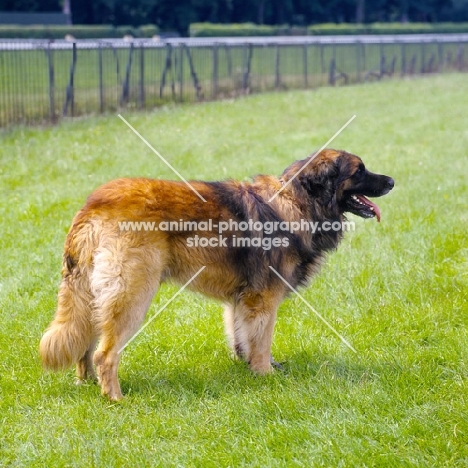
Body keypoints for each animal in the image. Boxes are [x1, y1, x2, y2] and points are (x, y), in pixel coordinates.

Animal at [40, 148, 394, 400]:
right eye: (359, 171)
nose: (392, 181)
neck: (299, 202)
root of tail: (94, 205)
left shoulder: (240, 299)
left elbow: (242, 338)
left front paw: (248, 367)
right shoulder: (263, 299)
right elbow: (262, 340)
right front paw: (266, 375)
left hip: (94, 296)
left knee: (86, 346)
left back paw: (86, 384)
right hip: (132, 295)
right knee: (105, 353)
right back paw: (115, 398)